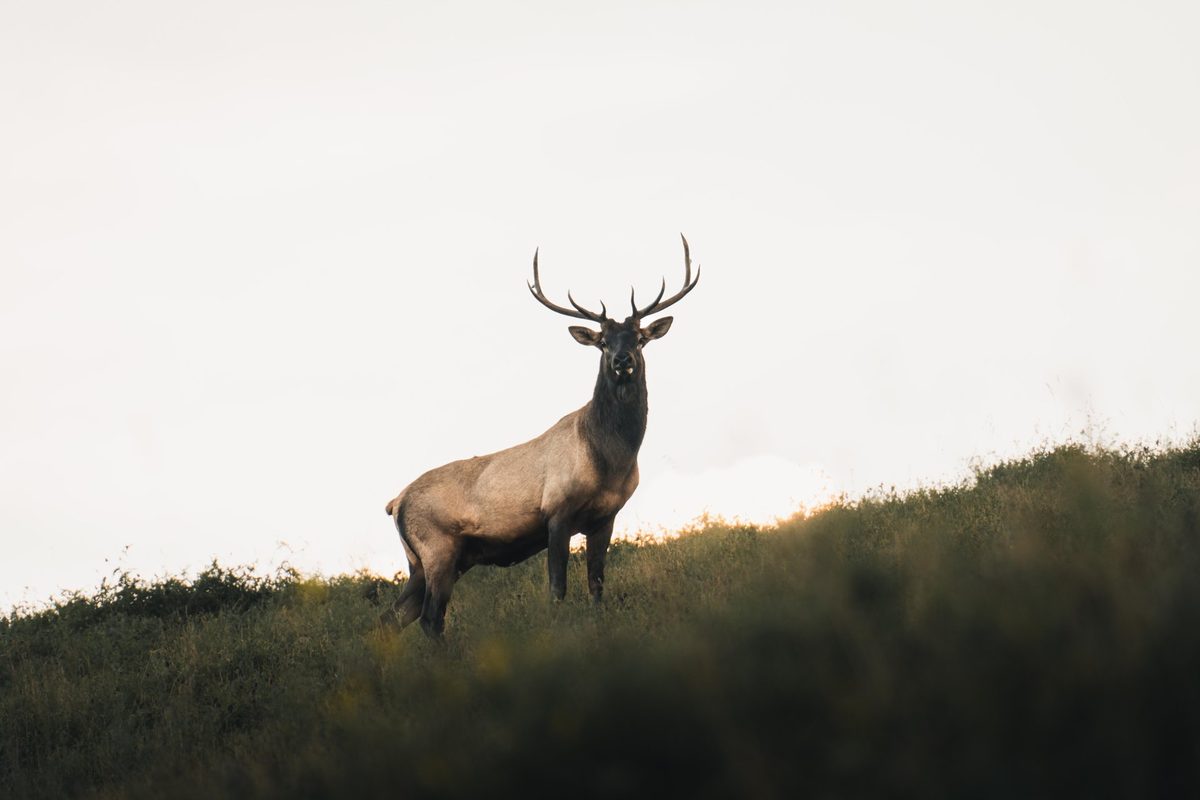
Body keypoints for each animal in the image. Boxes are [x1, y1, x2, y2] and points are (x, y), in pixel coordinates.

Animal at [382, 235, 700, 637]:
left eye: (640, 338)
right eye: (603, 342)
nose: (622, 360)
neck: (611, 460)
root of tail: (395, 502)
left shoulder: (605, 517)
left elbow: (597, 585)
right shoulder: (557, 512)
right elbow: (558, 589)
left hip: (425, 561)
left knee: (393, 616)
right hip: (436, 548)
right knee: (428, 617)